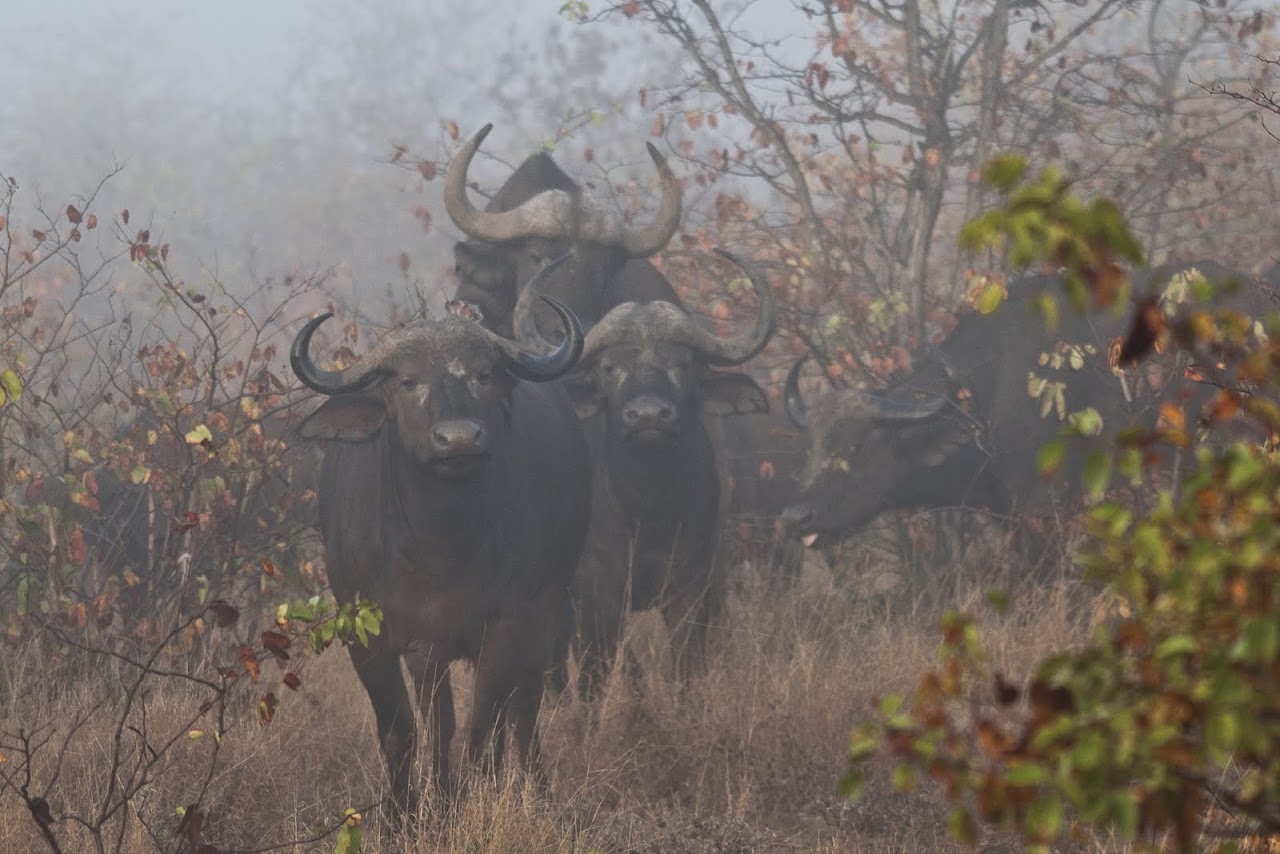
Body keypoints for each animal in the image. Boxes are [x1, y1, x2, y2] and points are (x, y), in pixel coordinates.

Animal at [290, 286, 590, 818]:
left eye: (483, 374)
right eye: (408, 381)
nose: (459, 439)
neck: (438, 546)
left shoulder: (507, 627)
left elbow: (484, 728)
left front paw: (476, 801)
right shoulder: (373, 638)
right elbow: (402, 730)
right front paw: (404, 815)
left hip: (545, 615)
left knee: (523, 707)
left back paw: (536, 791)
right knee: (443, 716)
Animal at [516, 249, 775, 695]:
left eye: (683, 364)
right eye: (609, 368)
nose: (649, 415)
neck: (648, 507)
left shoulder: (690, 587)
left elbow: (686, 667)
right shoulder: (596, 594)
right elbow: (605, 670)